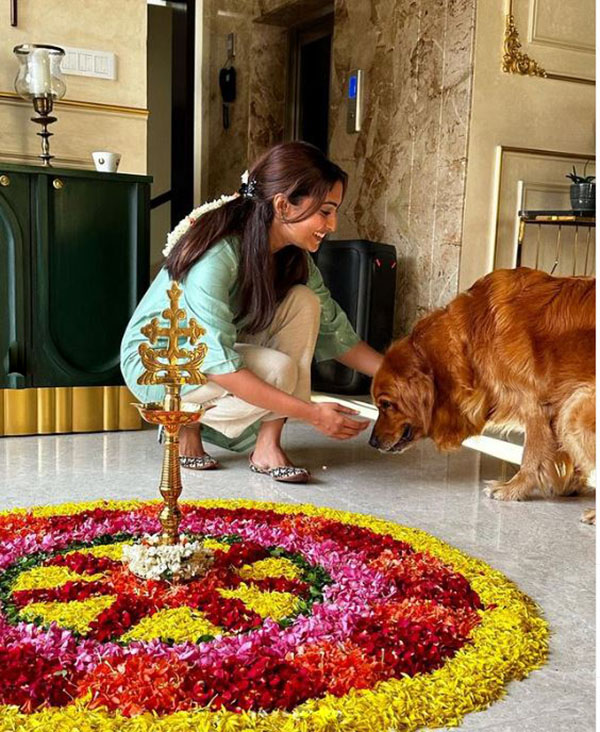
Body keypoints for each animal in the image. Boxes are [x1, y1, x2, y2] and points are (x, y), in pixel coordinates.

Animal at [370, 267, 595, 522]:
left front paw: (512, 489)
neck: (472, 341)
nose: (372, 442)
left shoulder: (536, 406)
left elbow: (532, 456)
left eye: (386, 405)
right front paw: (572, 484)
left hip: (576, 411)